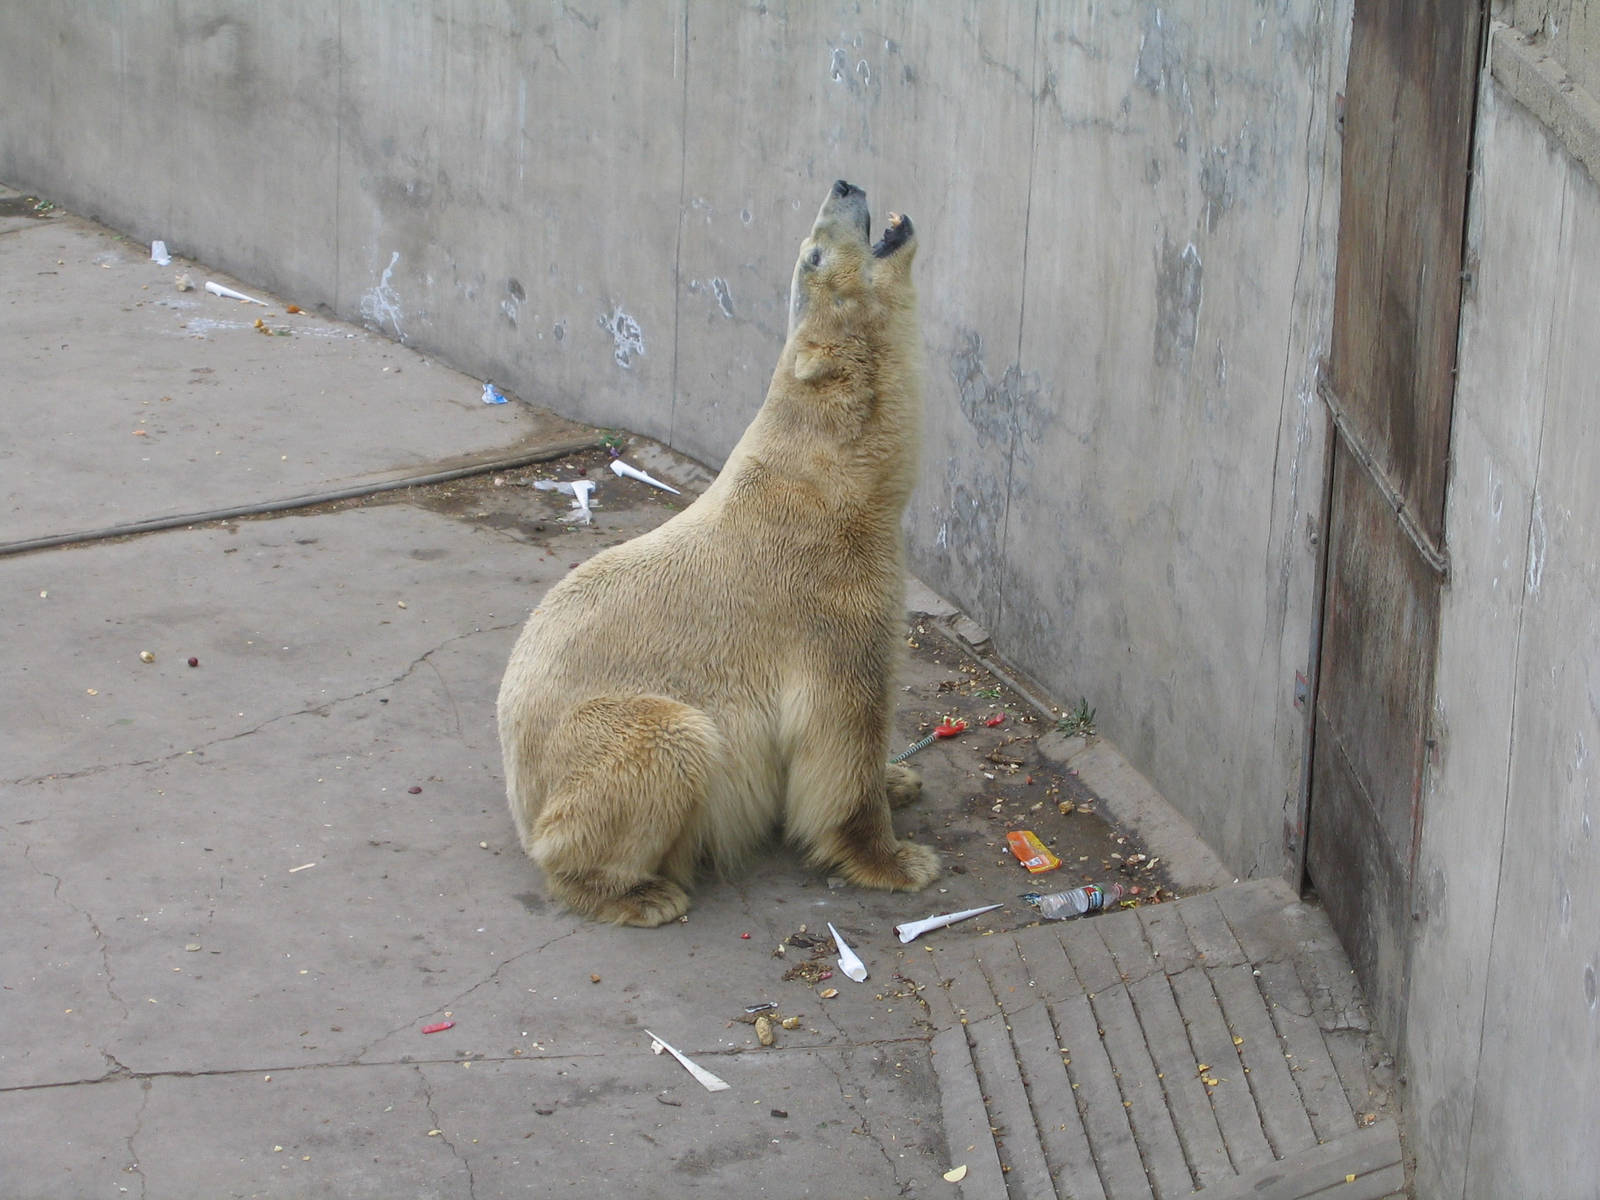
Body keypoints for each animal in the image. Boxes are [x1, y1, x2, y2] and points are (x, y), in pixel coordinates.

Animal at [496, 179, 938, 926]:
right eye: (814, 253)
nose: (843, 184)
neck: (837, 477)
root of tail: (518, 788)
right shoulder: (825, 597)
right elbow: (843, 730)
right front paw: (901, 859)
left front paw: (903, 776)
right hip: (603, 738)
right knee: (666, 746)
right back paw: (642, 892)